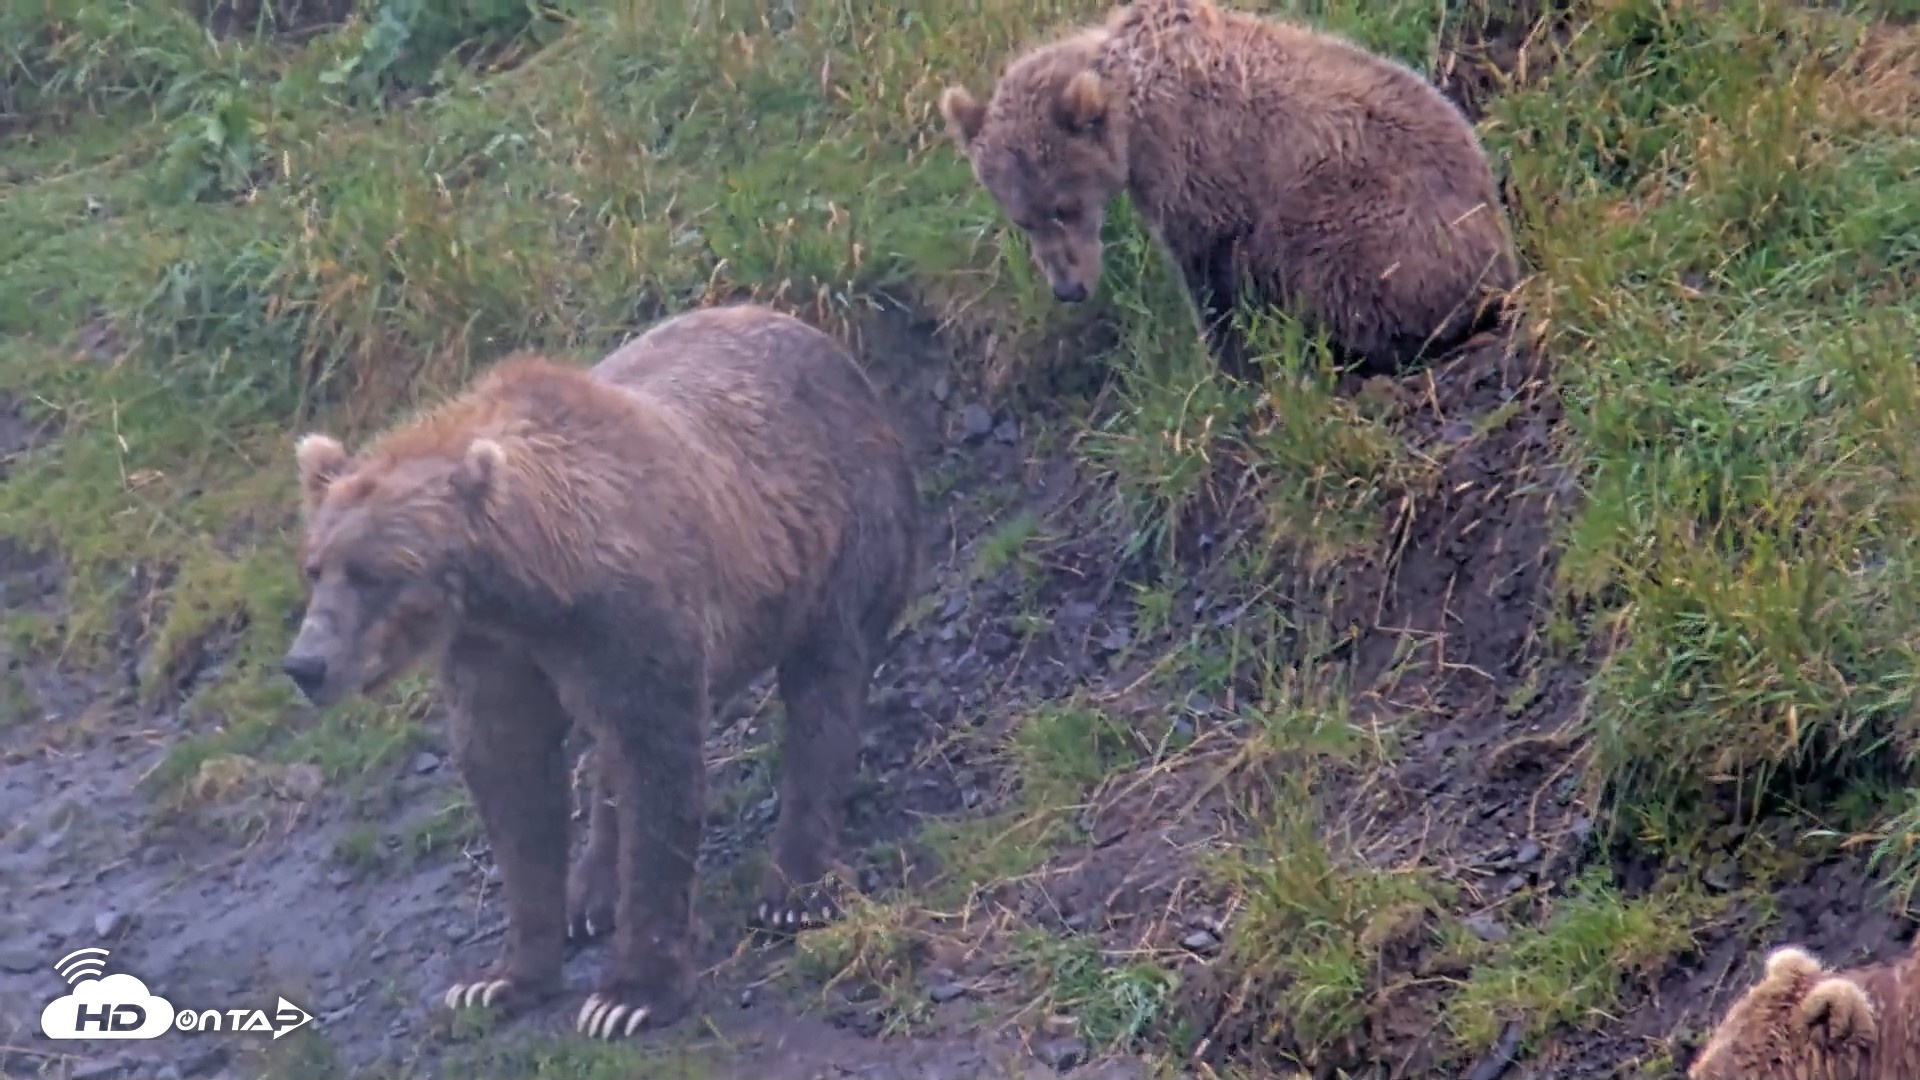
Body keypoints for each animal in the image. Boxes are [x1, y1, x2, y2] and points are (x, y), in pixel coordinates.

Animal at [280, 303, 922, 1040]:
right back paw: (589, 895)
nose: (306, 664)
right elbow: (512, 780)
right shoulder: (494, 649)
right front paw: (499, 979)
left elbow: (656, 768)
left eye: (376, 573)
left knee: (826, 686)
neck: (533, 585)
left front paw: (629, 995)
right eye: (315, 566)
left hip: (841, 528)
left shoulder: (630, 619)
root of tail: (835, 350)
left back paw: (795, 890)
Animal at [938, 0, 1519, 379]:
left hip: (1375, 219)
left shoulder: (1195, 168)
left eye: (1066, 206)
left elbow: (1206, 267)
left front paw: (1225, 363)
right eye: (1023, 218)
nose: (1068, 288)